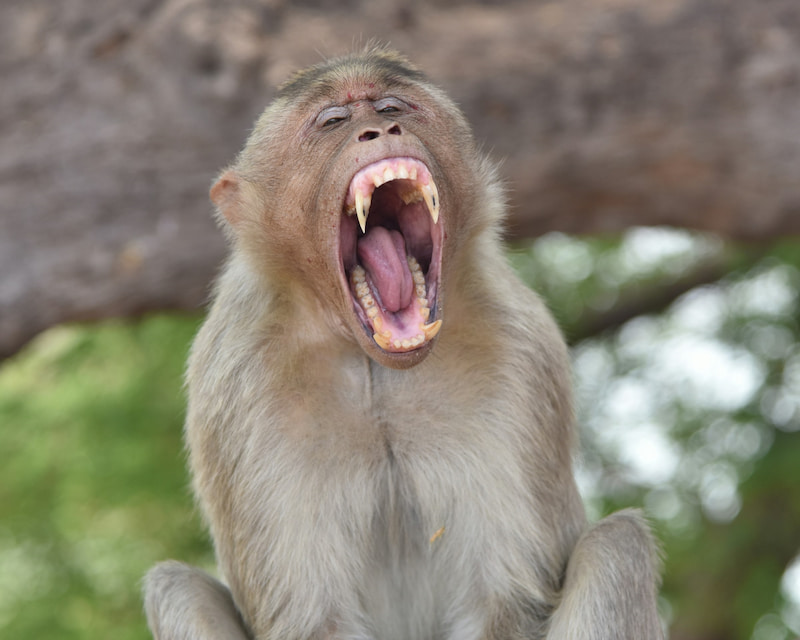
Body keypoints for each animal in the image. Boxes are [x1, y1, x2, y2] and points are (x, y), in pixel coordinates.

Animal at [143, 47, 663, 640]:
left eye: (393, 107)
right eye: (333, 121)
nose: (380, 129)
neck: (374, 365)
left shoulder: (520, 347)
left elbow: (504, 601)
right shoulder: (235, 380)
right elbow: (313, 616)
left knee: (617, 544)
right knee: (175, 587)